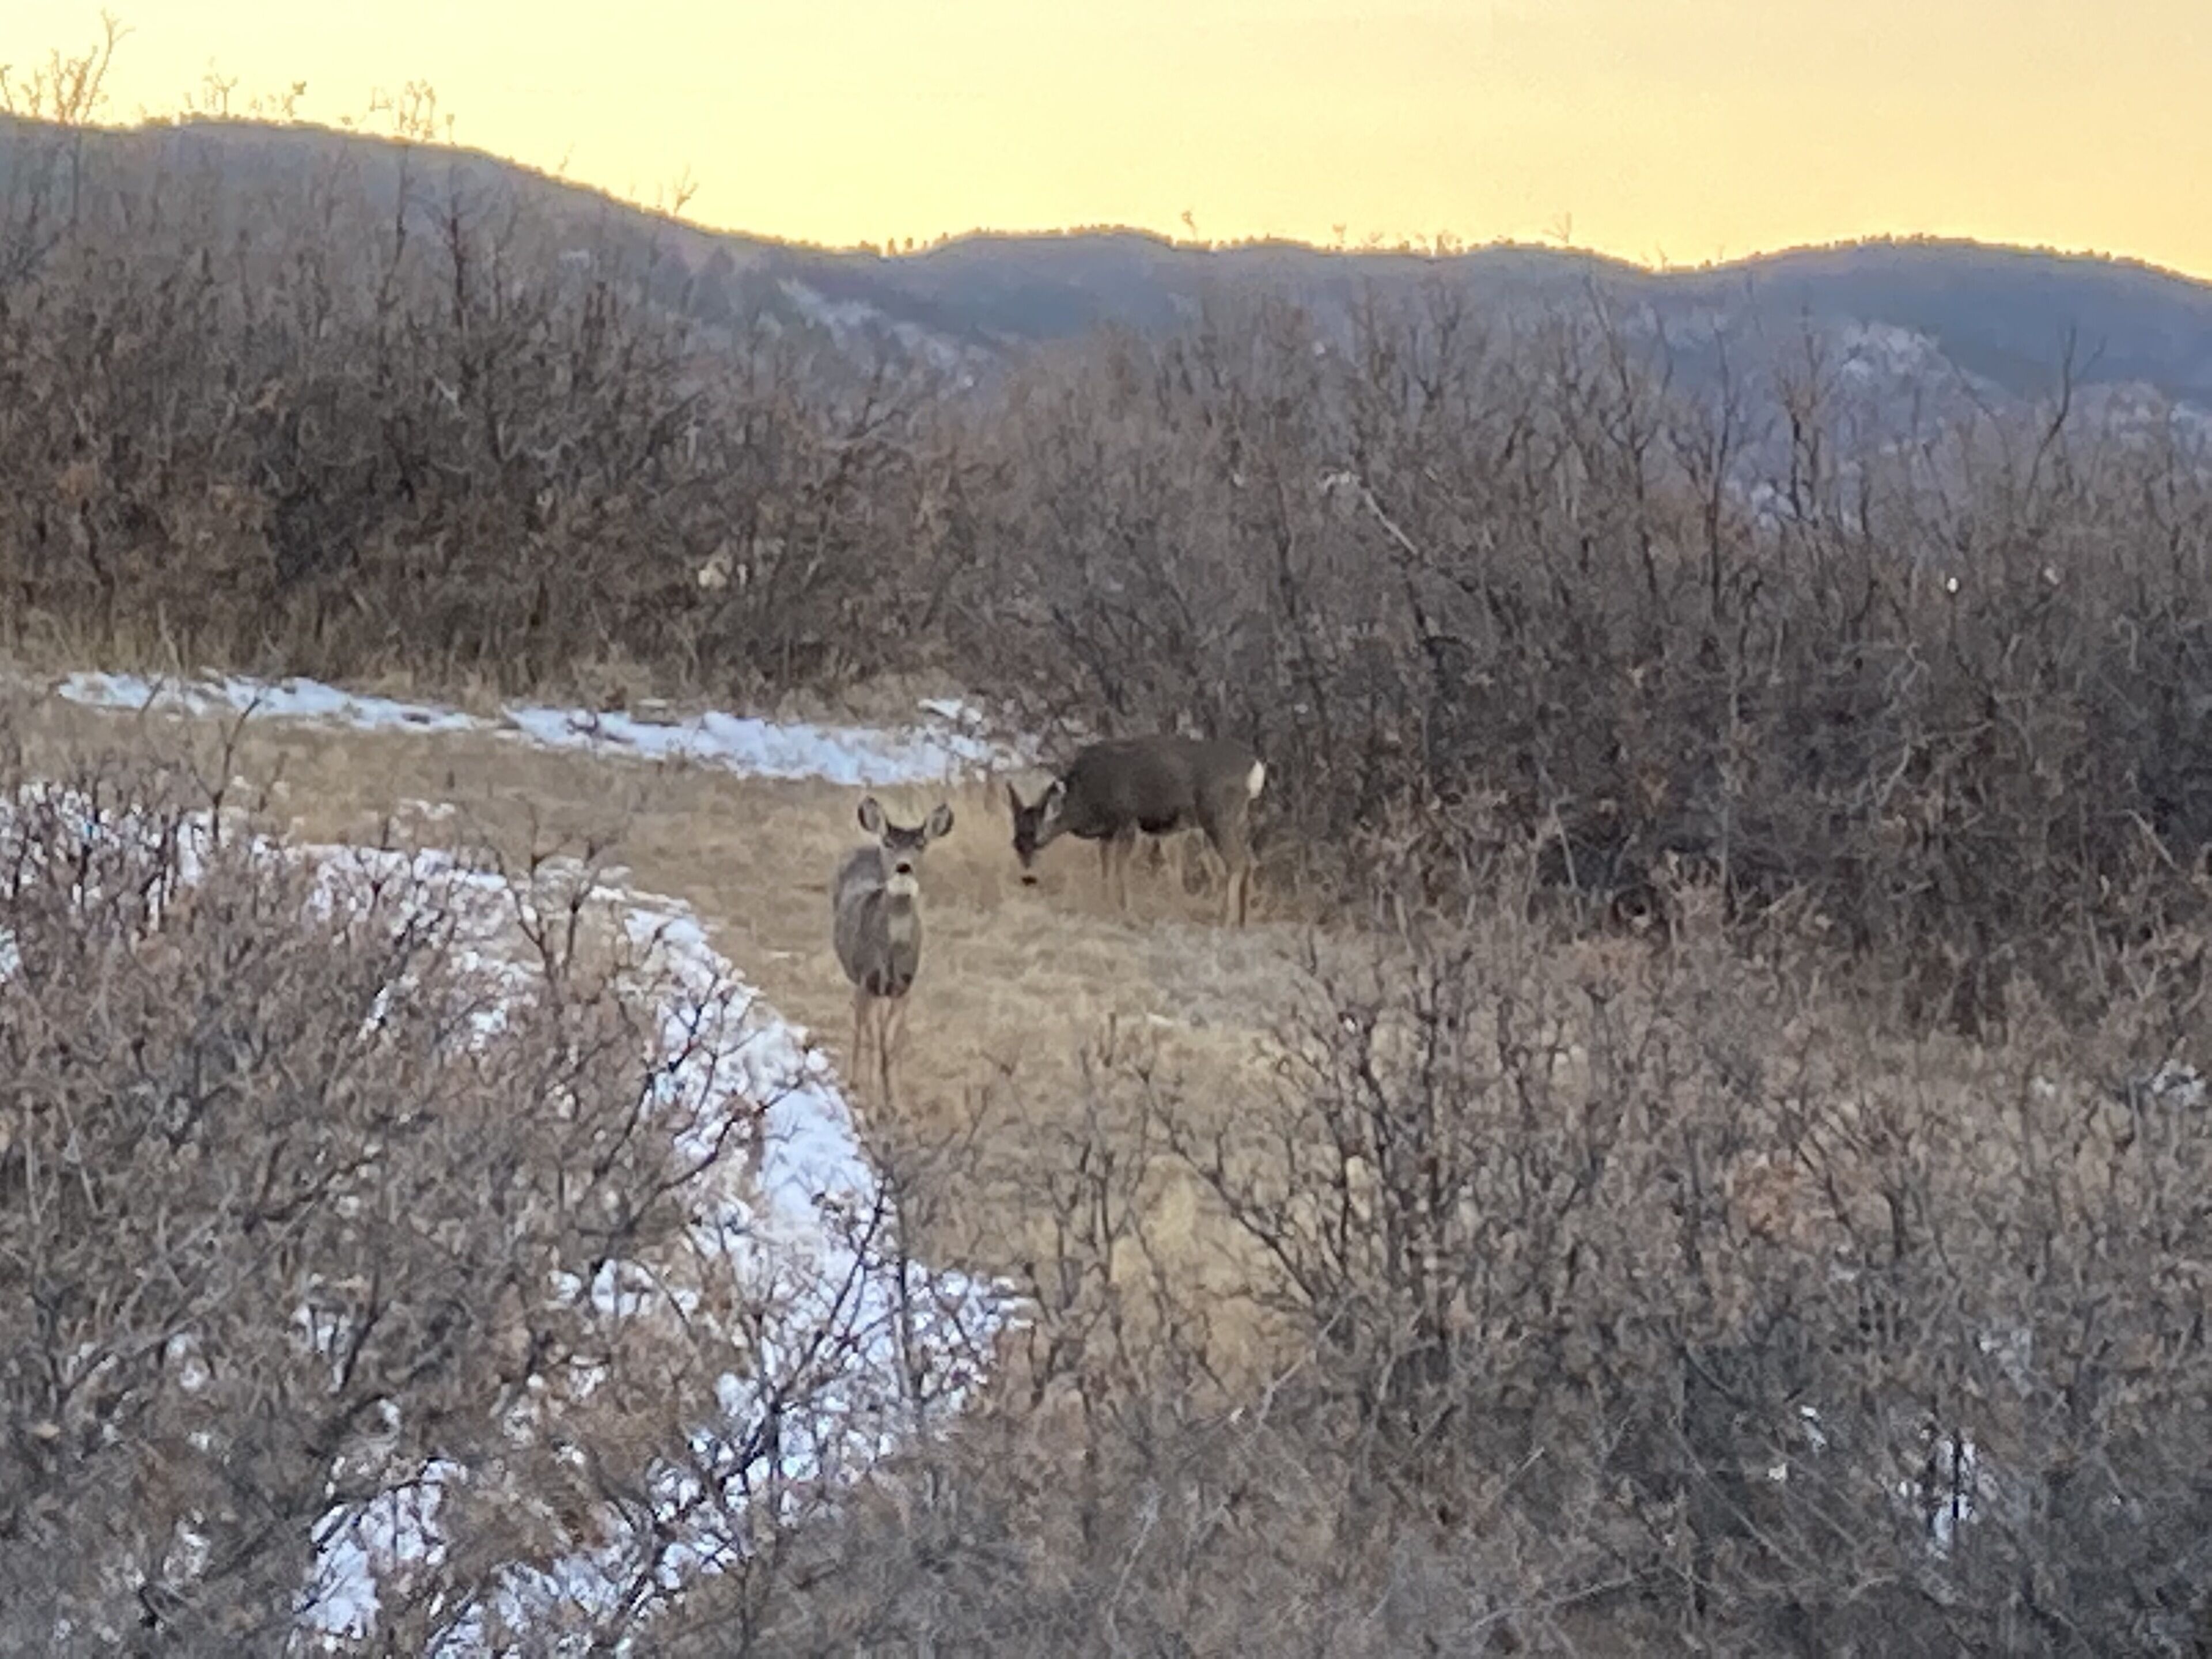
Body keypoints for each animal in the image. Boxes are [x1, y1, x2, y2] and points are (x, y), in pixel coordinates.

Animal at [831, 794, 954, 1108]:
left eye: (921, 844)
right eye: (889, 842)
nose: (903, 868)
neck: (892, 952)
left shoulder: (904, 987)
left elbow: (893, 1041)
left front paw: (897, 1104)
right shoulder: (870, 980)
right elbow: (876, 1040)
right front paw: (876, 1105)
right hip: (856, 974)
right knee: (858, 1021)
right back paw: (853, 1080)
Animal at [1006, 734, 1266, 926]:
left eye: (1034, 840)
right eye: (1015, 843)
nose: (1027, 878)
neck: (1086, 797)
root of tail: (1254, 766)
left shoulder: (1127, 821)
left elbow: (1122, 868)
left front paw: (1128, 914)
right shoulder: (1108, 832)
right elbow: (1106, 867)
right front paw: (1105, 904)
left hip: (1217, 816)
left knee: (1237, 862)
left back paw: (1224, 921)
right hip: (1239, 818)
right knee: (1249, 861)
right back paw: (1242, 922)